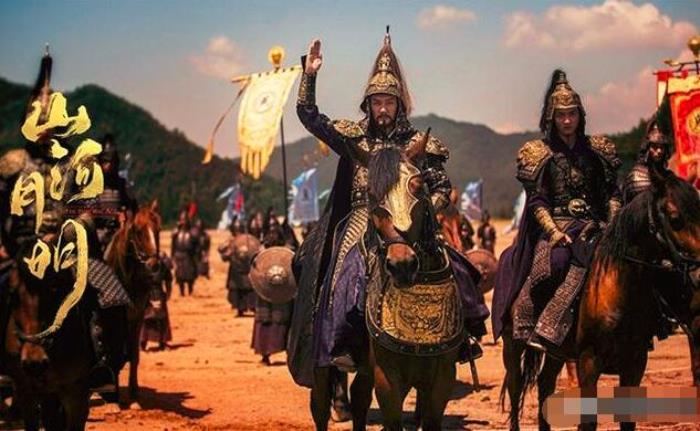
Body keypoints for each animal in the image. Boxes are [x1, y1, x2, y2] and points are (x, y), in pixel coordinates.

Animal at [105, 200, 161, 402]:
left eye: (158, 229)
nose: (154, 264)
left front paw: (134, 391)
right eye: (137, 230)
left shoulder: (136, 318)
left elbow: (134, 354)